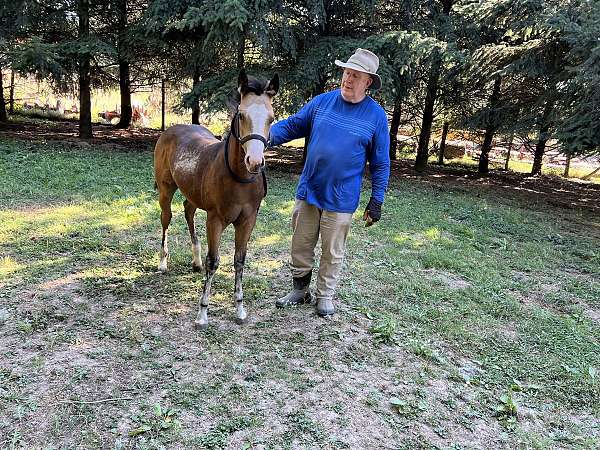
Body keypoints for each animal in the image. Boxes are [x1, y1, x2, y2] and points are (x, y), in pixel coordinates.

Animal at [152, 71, 278, 330]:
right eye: (241, 114)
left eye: (271, 118)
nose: (255, 162)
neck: (239, 178)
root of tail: (170, 130)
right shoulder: (215, 219)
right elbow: (214, 262)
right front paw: (202, 314)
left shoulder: (248, 221)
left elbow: (239, 261)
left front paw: (240, 309)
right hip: (166, 190)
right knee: (166, 219)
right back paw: (162, 262)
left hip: (192, 194)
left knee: (188, 211)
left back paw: (195, 261)